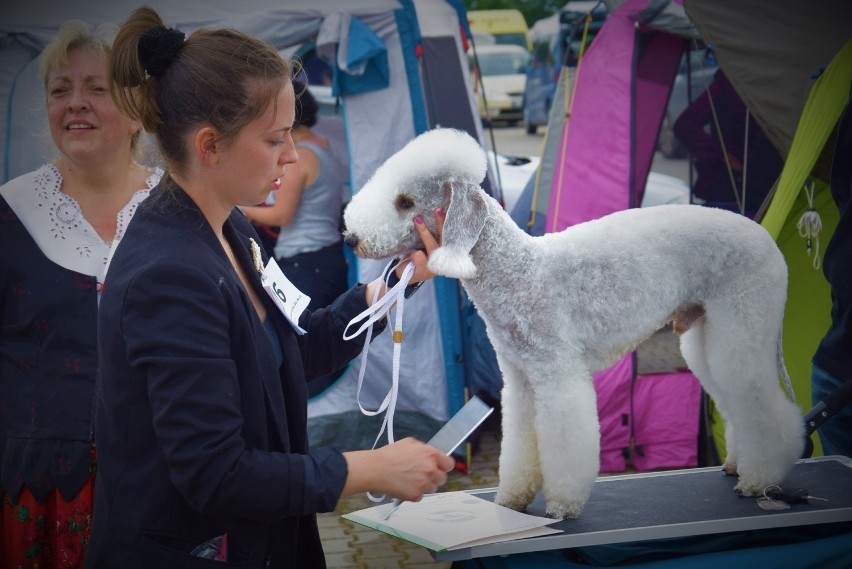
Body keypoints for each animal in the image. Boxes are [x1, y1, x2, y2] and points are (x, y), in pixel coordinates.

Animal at [342, 126, 804, 516]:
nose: (350, 238)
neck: (518, 272)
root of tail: (767, 239)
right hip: (707, 335)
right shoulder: (520, 381)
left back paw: (759, 478)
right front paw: (511, 499)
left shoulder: (556, 374)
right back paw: (738, 465)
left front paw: (562, 505)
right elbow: (521, 444)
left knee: (768, 407)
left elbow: (566, 440)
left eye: (405, 202)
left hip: (743, 324)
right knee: (734, 401)